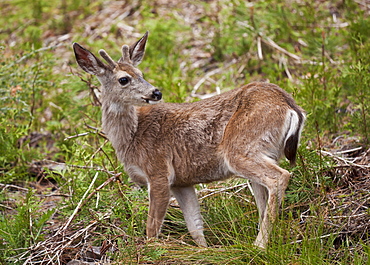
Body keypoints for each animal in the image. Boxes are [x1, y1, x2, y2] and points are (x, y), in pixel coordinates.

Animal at [73, 31, 304, 248]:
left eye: (140, 73)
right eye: (124, 79)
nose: (156, 92)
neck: (131, 138)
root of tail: (290, 105)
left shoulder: (158, 170)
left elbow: (151, 229)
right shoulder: (181, 182)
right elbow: (195, 226)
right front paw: (205, 251)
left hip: (240, 149)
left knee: (279, 177)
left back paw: (259, 246)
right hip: (262, 153)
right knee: (264, 198)